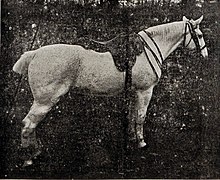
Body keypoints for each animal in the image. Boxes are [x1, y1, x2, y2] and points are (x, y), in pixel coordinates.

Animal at [12, 15, 208, 166]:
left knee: (30, 125)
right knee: (28, 124)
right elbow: (141, 117)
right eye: (198, 34)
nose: (206, 55)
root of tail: (35, 53)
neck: (147, 50)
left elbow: (133, 116)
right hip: (45, 101)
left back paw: (35, 153)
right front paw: (141, 143)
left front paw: (132, 139)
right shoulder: (145, 91)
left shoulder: (134, 92)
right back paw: (29, 158)